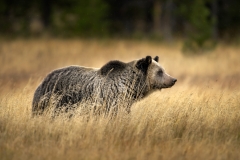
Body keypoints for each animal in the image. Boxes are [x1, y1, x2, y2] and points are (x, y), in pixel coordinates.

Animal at [32, 55, 176, 115]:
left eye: (163, 69)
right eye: (160, 72)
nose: (173, 79)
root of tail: (43, 80)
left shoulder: (125, 103)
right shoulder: (109, 100)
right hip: (55, 100)